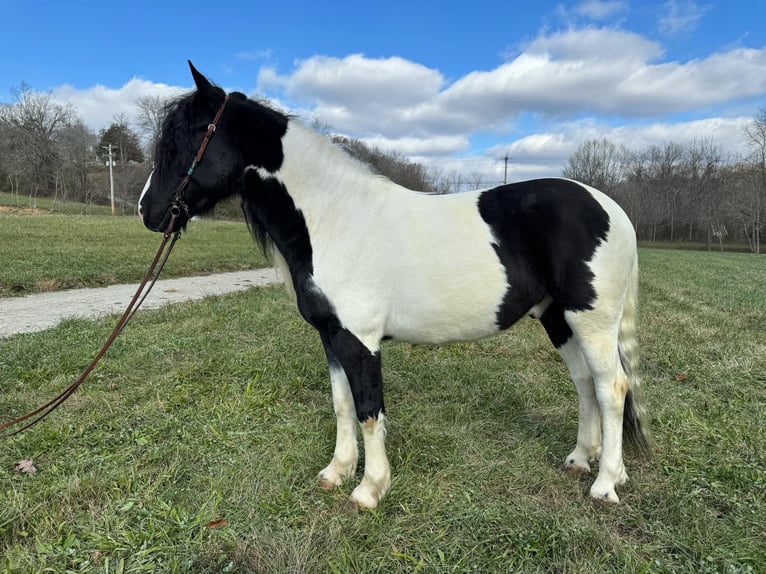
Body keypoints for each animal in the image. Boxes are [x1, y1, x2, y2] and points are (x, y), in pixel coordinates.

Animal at [140, 63, 648, 510]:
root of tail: (613, 210)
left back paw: (606, 484)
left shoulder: (361, 340)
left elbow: (369, 410)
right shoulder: (333, 337)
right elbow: (343, 406)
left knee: (611, 388)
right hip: (558, 319)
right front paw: (336, 472)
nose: (149, 211)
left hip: (592, 321)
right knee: (585, 383)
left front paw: (369, 490)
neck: (332, 217)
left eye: (187, 137)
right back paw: (581, 460)